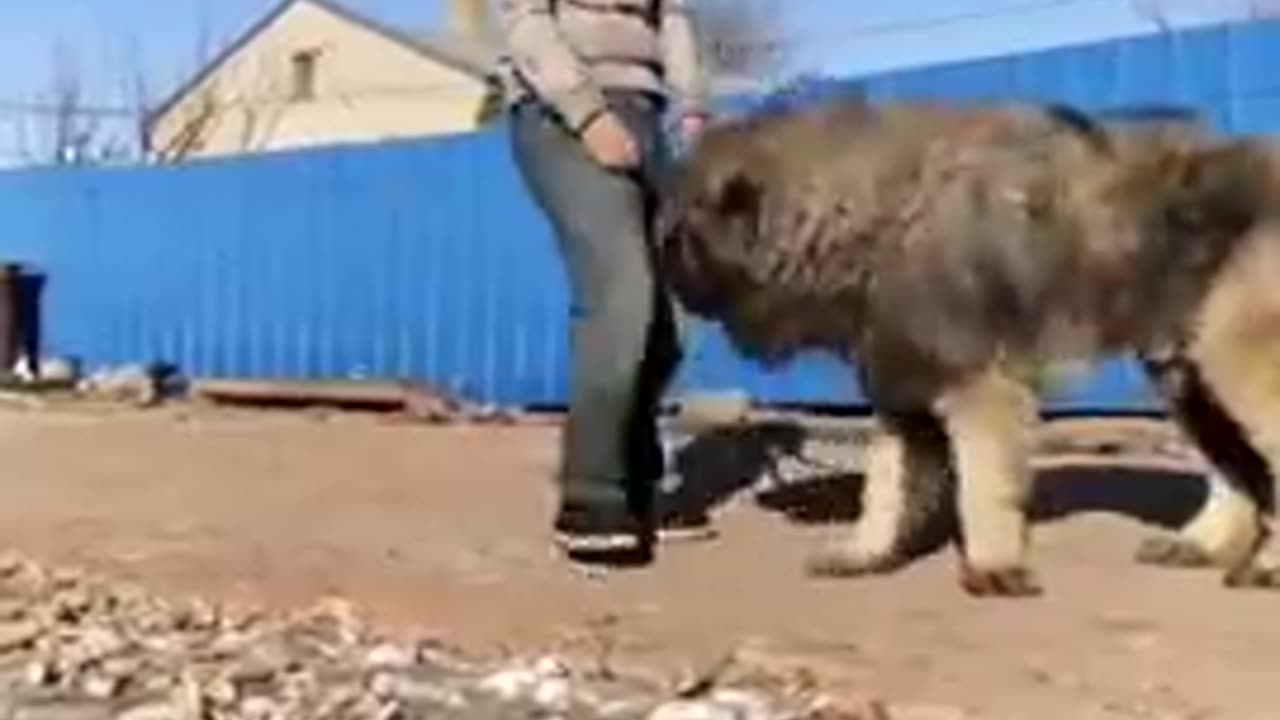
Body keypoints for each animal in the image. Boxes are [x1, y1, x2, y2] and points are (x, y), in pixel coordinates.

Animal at [655, 99, 1280, 594]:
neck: (870, 219)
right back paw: (1202, 544)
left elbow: (981, 484)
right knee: (1234, 469)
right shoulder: (903, 397)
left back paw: (1265, 564)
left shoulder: (979, 386)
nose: (664, 277)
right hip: (1183, 373)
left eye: (676, 234)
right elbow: (885, 492)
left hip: (1233, 362)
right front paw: (864, 554)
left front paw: (992, 566)